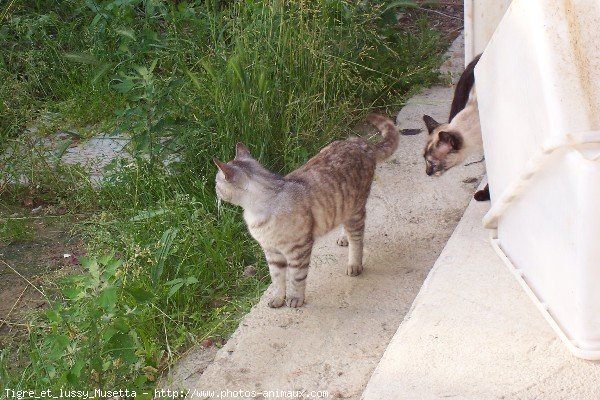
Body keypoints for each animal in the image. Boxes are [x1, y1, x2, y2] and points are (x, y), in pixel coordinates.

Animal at [214, 114, 398, 308]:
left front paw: (295, 299)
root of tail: (359, 142)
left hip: (356, 210)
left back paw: (354, 264)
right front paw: (278, 299)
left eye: (217, 183)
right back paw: (343, 237)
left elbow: (296, 278)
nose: (214, 191)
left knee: (357, 240)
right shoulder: (272, 252)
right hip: (344, 206)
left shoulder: (298, 250)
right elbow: (277, 280)